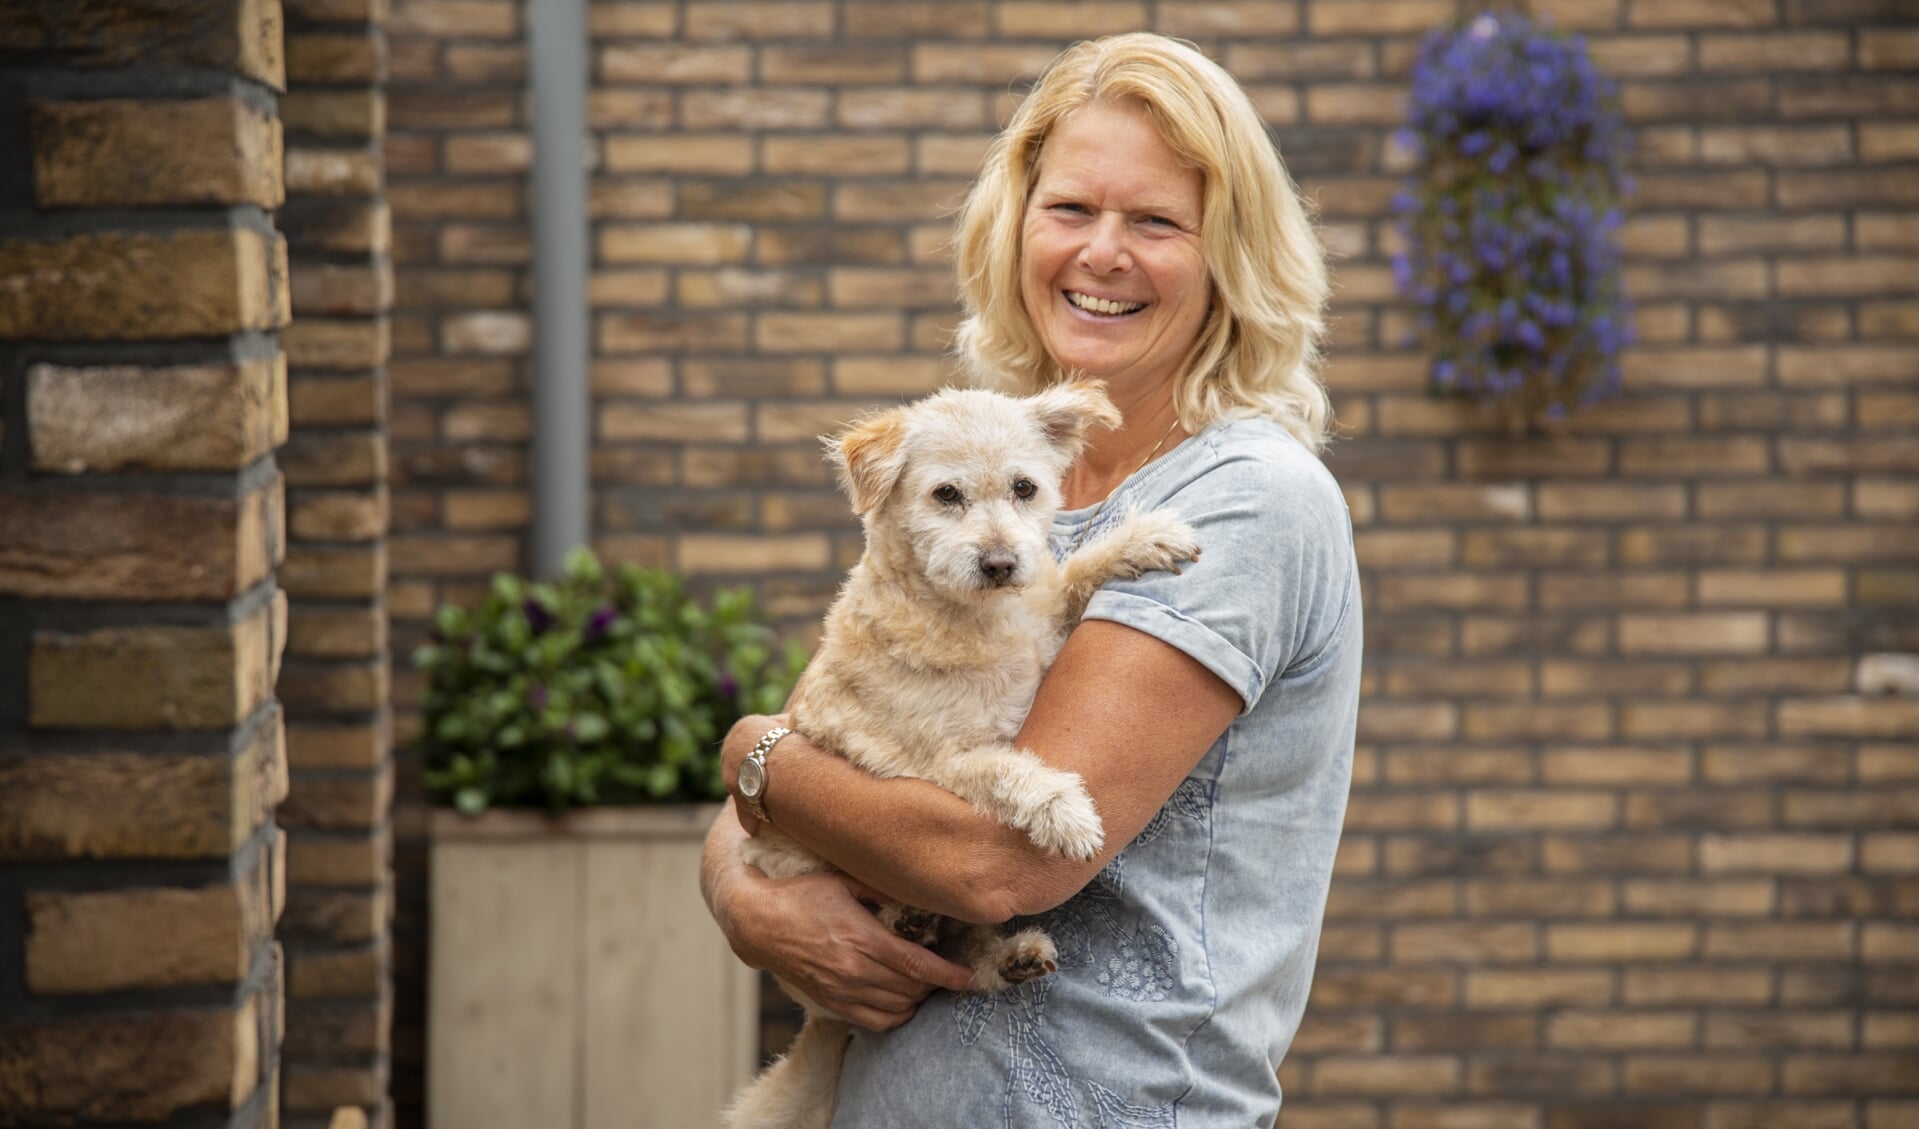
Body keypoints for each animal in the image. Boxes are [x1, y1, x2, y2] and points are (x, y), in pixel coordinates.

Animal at [721, 384, 1189, 1129]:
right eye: (946, 494)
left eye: (1025, 487)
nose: (999, 563)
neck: (977, 618)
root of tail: (825, 1023)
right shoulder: (937, 762)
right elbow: (1001, 768)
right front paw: (1063, 809)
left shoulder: (1044, 622)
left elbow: (1067, 580)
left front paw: (1140, 540)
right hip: (803, 867)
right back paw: (908, 921)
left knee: (969, 964)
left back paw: (1009, 955)